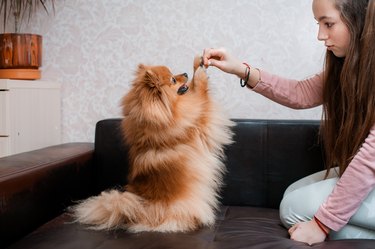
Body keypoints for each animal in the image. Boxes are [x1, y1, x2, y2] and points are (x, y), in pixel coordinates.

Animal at [71, 56, 234, 231]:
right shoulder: (199, 124)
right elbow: (201, 94)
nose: (185, 73)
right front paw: (200, 73)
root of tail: (136, 213)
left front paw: (197, 63)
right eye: (173, 79)